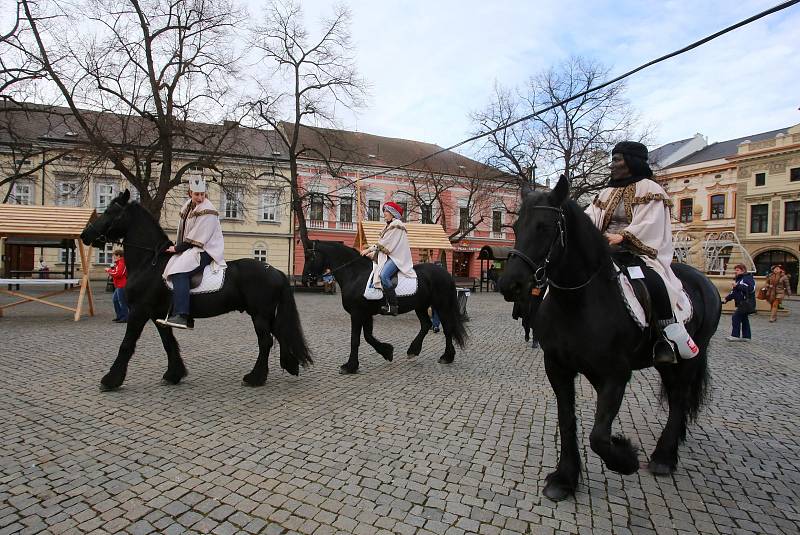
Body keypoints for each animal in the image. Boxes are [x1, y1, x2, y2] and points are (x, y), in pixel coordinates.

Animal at [80, 191, 312, 392]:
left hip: (260, 315)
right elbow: (169, 343)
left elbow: (127, 345)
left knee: (265, 342)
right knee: (279, 334)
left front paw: (110, 380)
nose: (85, 234)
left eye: (111, 211)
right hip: (264, 314)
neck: (150, 263)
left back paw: (255, 377)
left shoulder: (139, 311)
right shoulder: (158, 316)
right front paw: (174, 374)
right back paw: (290, 365)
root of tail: (274, 270)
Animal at [304, 241, 468, 374]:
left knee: (447, 328)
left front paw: (350, 366)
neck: (355, 275)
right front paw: (387, 352)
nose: (306, 279)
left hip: (442, 306)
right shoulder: (365, 314)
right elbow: (368, 337)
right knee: (426, 324)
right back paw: (413, 350)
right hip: (421, 306)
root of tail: (446, 274)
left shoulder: (357, 313)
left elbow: (355, 339)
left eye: (310, 257)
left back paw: (446, 356)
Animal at [496, 177, 720, 502]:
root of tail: (704, 280)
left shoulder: (616, 374)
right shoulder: (559, 369)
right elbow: (567, 420)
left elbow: (599, 436)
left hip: (693, 355)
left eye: (545, 227)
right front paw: (565, 478)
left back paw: (664, 457)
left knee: (679, 397)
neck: (578, 301)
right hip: (667, 361)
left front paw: (624, 457)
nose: (509, 284)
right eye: (515, 226)